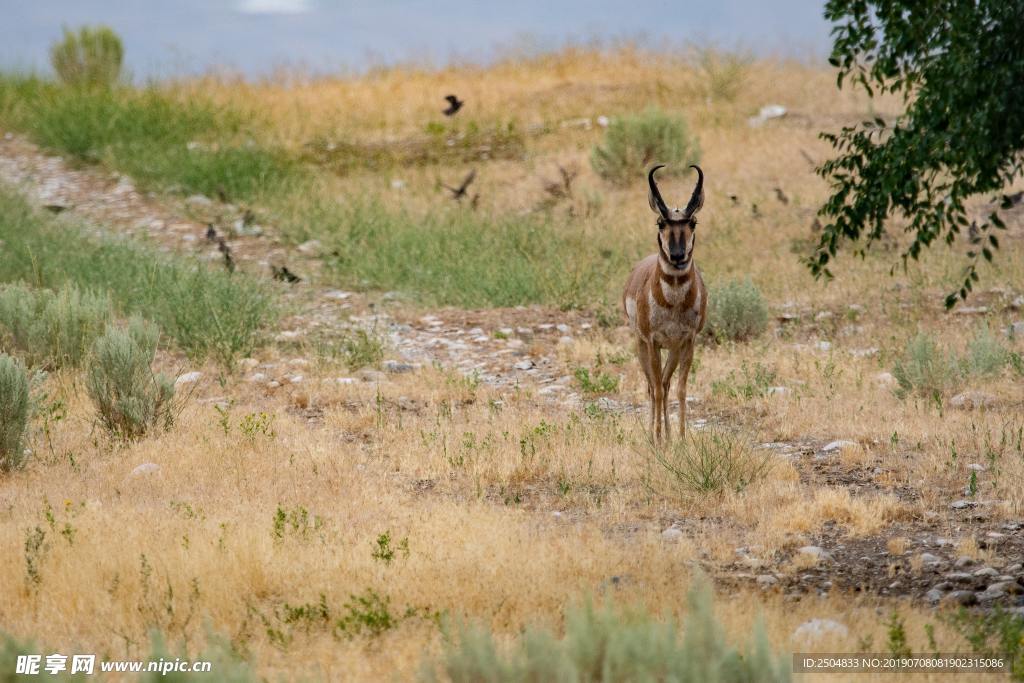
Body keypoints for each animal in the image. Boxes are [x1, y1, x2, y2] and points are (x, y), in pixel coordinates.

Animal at [623, 164, 707, 441]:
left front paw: (680, 438)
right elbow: (656, 390)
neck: (673, 303)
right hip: (642, 346)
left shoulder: (688, 341)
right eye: (661, 222)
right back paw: (654, 433)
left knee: (666, 384)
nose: (678, 256)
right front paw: (656, 438)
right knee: (653, 386)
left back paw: (669, 436)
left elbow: (680, 388)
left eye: (692, 221)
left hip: (672, 349)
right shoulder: (651, 342)